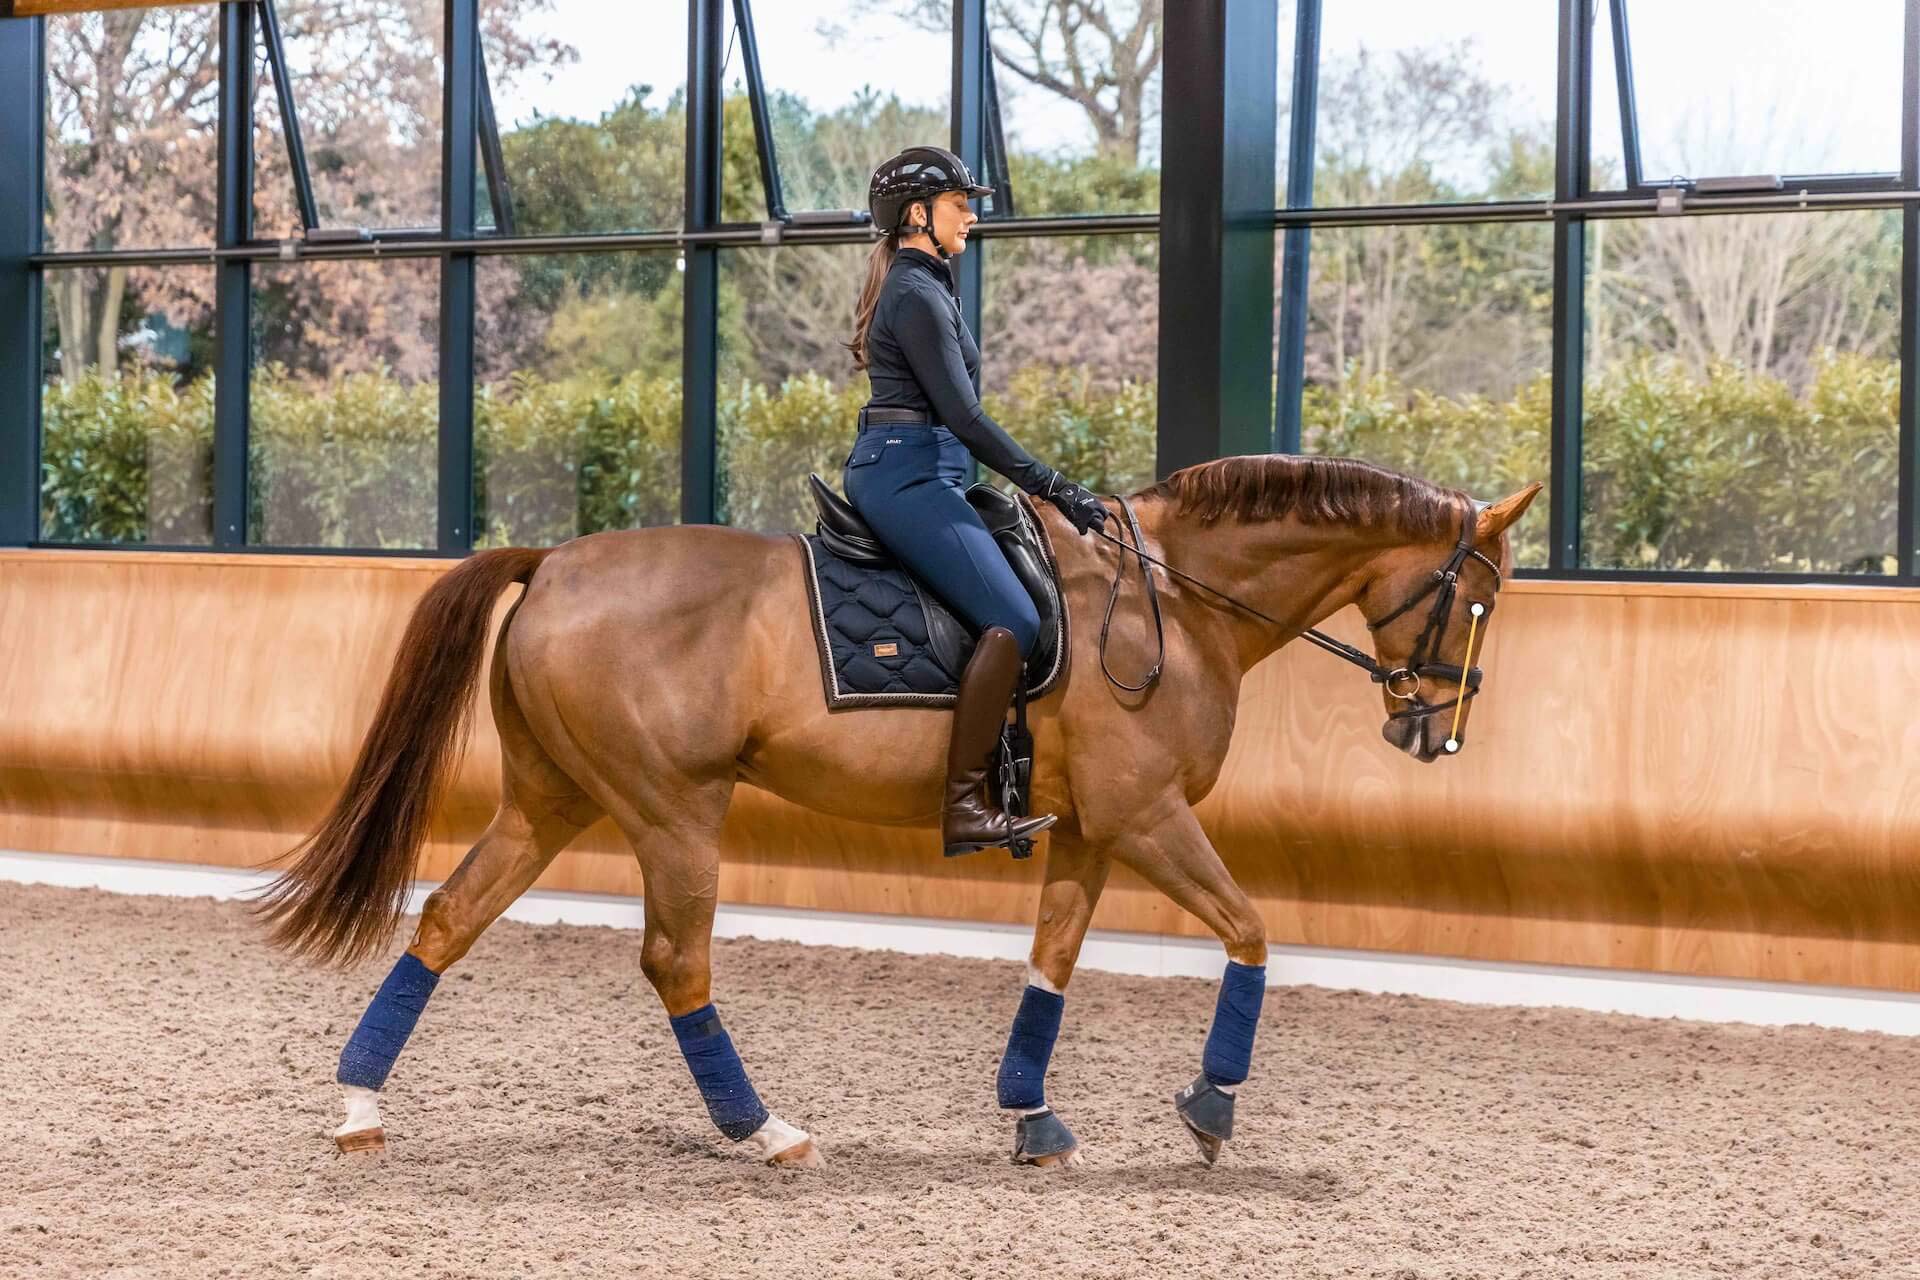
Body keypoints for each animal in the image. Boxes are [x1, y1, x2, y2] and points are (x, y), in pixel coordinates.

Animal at [259, 452, 1543, 1174]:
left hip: (552, 798)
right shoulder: (1146, 815)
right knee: (677, 960)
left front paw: (1033, 1118)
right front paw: (1211, 1105)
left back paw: (359, 1106)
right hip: (674, 811)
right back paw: (765, 1130)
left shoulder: (1091, 829)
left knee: (447, 919)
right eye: (1478, 597)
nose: (1433, 732)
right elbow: (1252, 930)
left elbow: (1052, 963)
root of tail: (556, 563)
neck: (1178, 602)